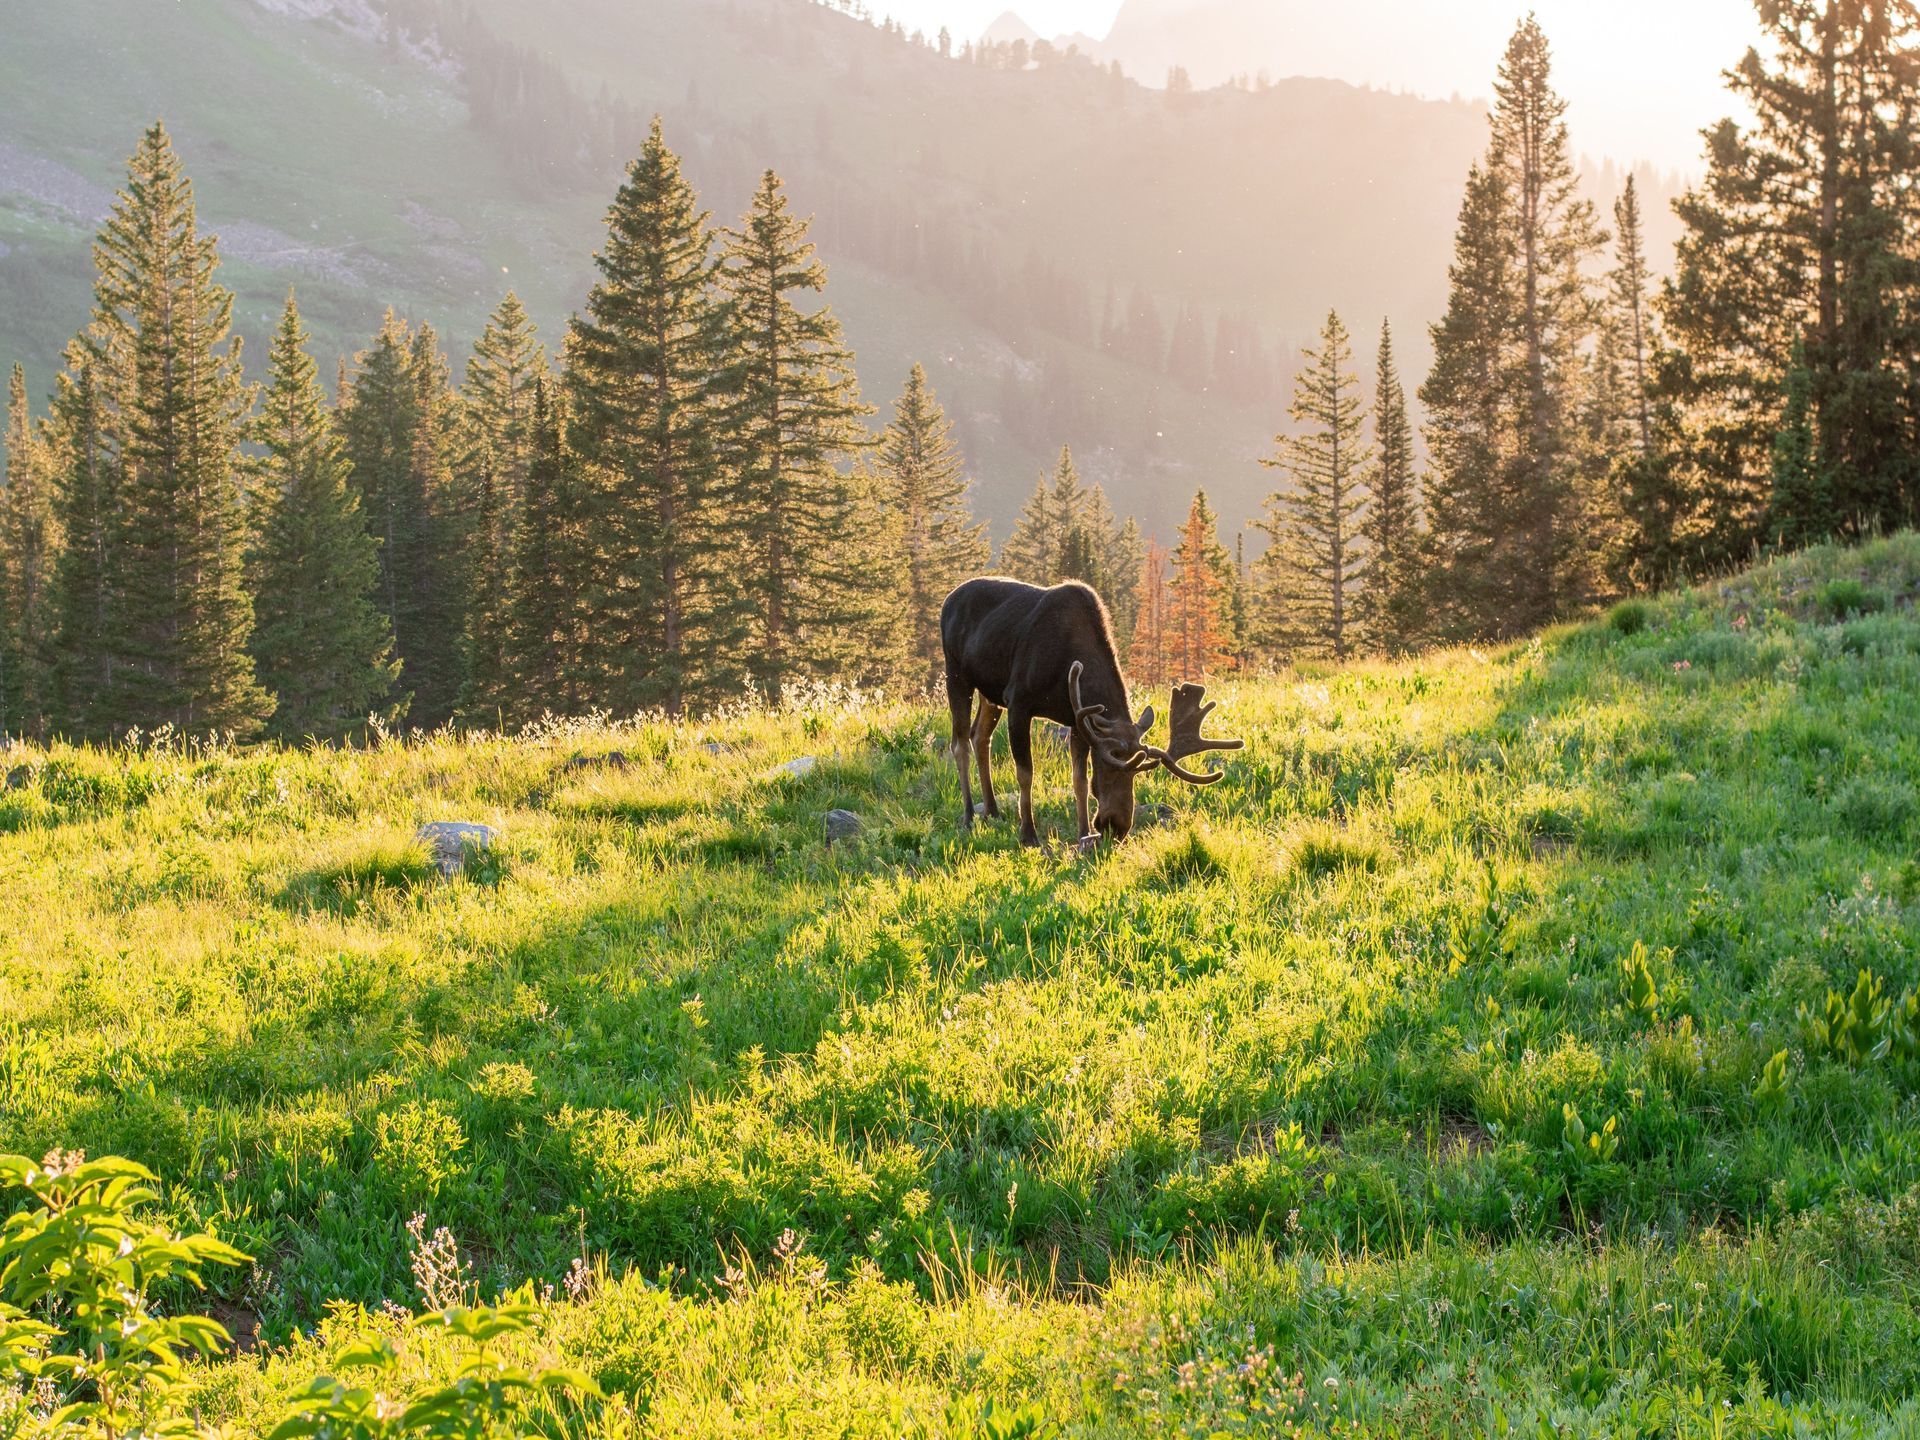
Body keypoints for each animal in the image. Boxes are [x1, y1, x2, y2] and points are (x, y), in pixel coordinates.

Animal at [940, 577, 1244, 846]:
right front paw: (1028, 835)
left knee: (980, 736)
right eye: (1108, 772)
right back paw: (969, 815)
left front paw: (1083, 831)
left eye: (1134, 777)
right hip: (956, 674)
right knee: (960, 744)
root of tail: (948, 599)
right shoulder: (1019, 702)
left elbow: (1079, 780)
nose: (1117, 828)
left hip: (988, 692)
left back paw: (992, 810)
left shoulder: (1077, 719)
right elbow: (1026, 773)